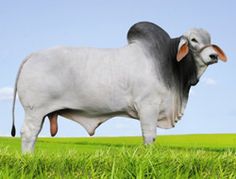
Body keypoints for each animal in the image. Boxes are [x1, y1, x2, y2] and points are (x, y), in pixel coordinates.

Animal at [11, 21, 227, 152]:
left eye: (209, 40)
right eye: (193, 40)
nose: (213, 56)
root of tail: (32, 55)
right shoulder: (148, 107)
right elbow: (149, 136)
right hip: (34, 110)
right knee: (28, 134)